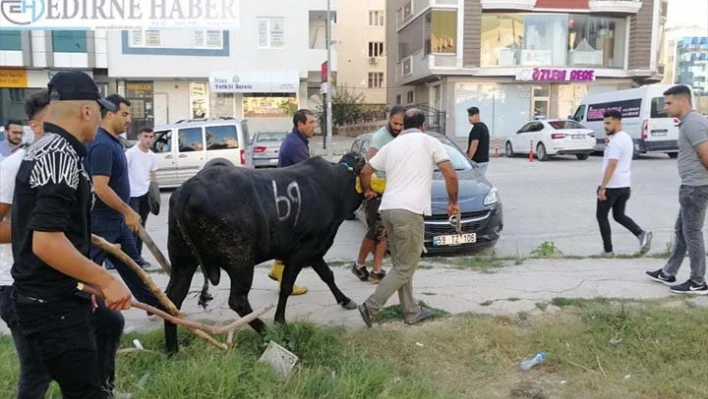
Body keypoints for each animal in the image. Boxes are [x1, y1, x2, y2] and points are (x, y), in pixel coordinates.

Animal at [164, 152, 368, 354]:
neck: (336, 187)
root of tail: (188, 187)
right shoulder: (300, 252)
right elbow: (286, 287)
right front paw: (280, 321)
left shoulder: (314, 250)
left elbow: (327, 275)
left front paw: (345, 300)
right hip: (240, 260)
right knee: (238, 301)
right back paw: (267, 333)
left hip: (183, 262)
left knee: (172, 298)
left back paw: (172, 350)